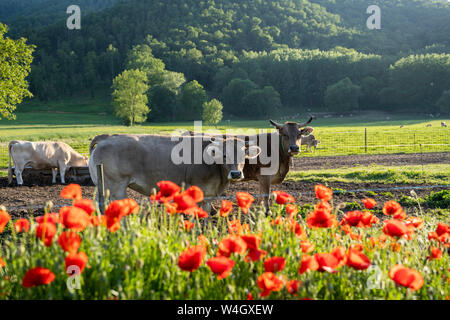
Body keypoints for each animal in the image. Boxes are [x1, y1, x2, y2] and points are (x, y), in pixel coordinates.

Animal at [87, 132, 260, 205]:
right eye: (224, 155)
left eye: (243, 155)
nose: (236, 173)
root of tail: (108, 137)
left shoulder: (209, 195)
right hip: (114, 188)